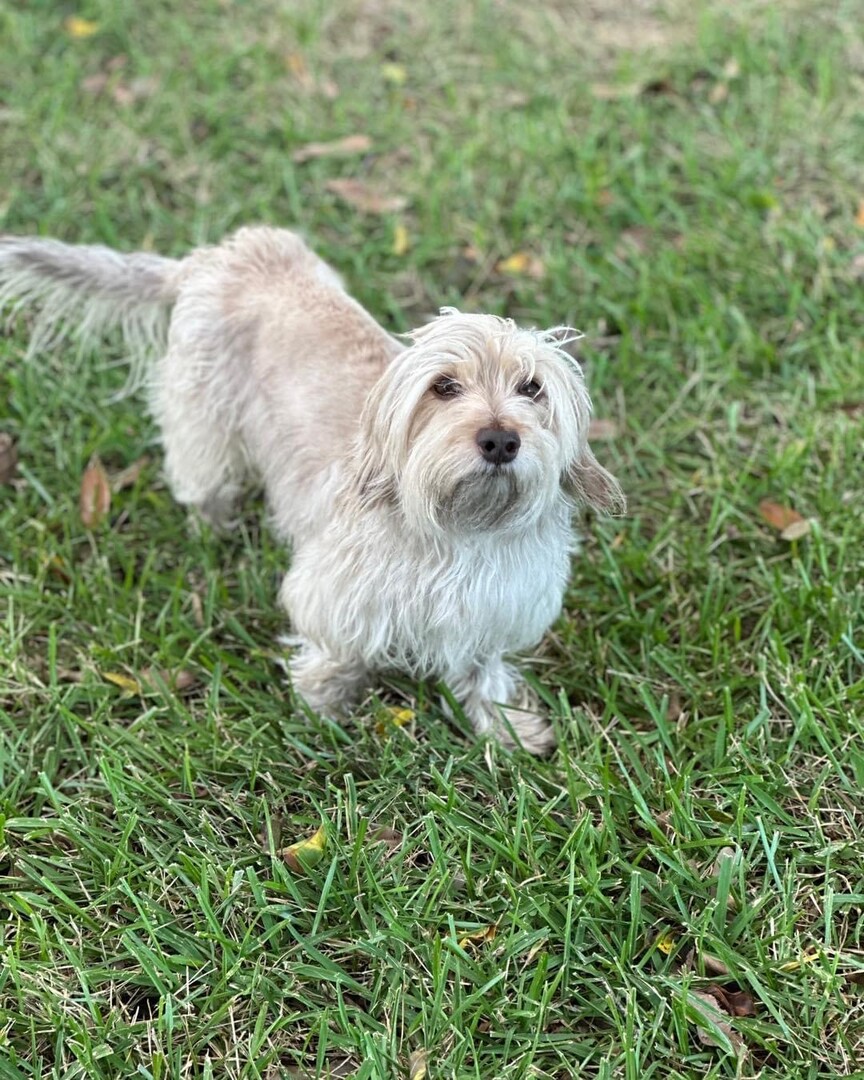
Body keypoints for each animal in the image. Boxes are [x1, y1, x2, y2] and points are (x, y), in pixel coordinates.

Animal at [0, 225, 626, 751]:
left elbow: (482, 670)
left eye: (532, 387)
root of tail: (218, 254)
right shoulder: (333, 592)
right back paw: (214, 527)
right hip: (203, 422)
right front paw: (321, 704)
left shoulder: (493, 610)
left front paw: (505, 728)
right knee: (203, 481)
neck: (457, 530)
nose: (499, 440)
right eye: (445, 386)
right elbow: (336, 650)